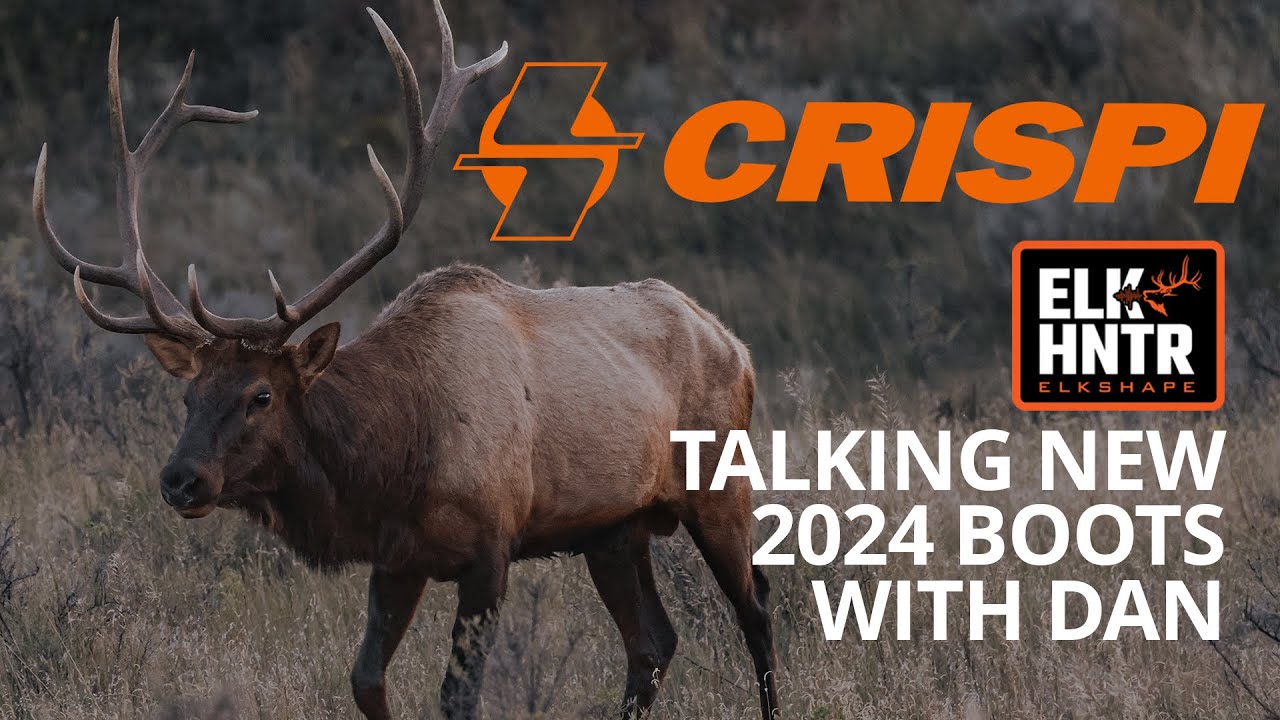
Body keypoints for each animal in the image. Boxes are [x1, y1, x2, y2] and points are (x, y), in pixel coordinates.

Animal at [31, 3, 780, 719]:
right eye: (188, 398)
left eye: (260, 395)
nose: (180, 480)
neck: (395, 460)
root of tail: (737, 345)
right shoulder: (397, 559)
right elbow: (365, 681)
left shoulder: (490, 548)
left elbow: (458, 695)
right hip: (613, 530)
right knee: (653, 641)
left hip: (720, 486)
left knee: (757, 608)